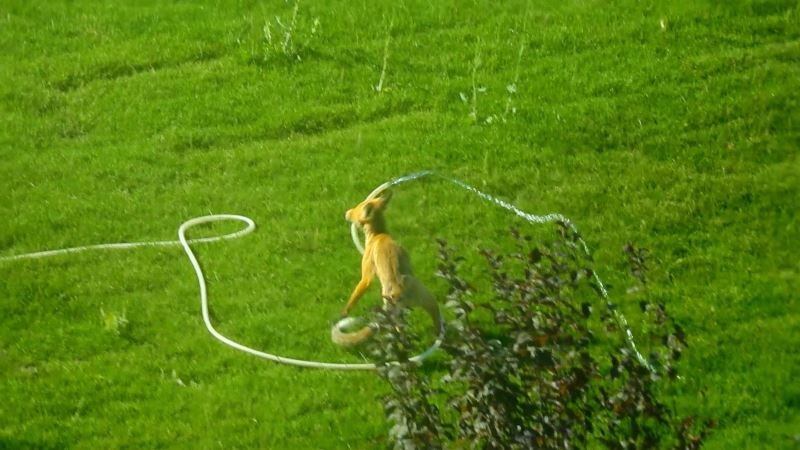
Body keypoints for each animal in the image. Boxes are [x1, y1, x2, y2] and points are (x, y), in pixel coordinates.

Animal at [332, 188, 444, 346]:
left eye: (357, 208)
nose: (346, 212)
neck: (379, 235)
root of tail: (400, 290)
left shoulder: (366, 275)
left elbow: (355, 295)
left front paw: (343, 313)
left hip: (394, 310)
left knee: (398, 330)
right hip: (428, 298)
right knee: (435, 318)